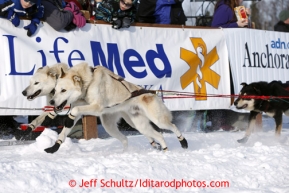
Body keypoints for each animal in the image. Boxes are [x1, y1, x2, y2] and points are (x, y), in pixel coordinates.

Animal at [45, 61, 188, 154]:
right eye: (55, 90)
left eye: (63, 90)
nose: (51, 102)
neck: (89, 82)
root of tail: (151, 93)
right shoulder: (81, 110)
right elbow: (64, 131)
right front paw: (54, 147)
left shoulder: (97, 107)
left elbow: (73, 111)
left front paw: (67, 119)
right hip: (131, 125)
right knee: (143, 137)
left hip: (157, 120)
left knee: (171, 127)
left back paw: (182, 142)